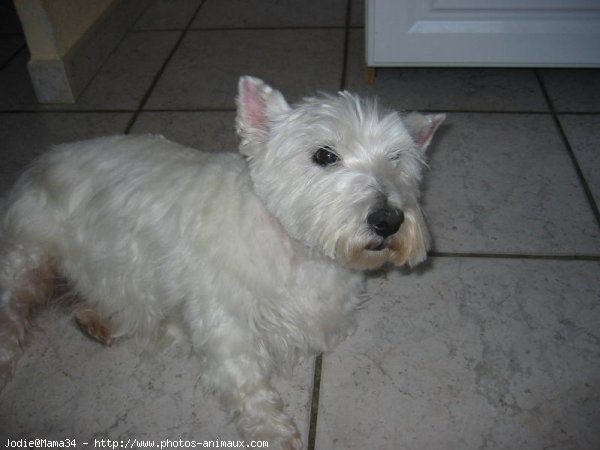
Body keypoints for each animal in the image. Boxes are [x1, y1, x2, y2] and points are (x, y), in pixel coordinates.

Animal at [0, 76, 440, 446]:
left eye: (397, 158)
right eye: (324, 155)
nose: (389, 220)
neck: (297, 249)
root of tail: (37, 165)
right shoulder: (221, 322)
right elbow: (246, 382)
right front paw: (275, 433)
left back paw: (97, 320)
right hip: (29, 256)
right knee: (13, 308)